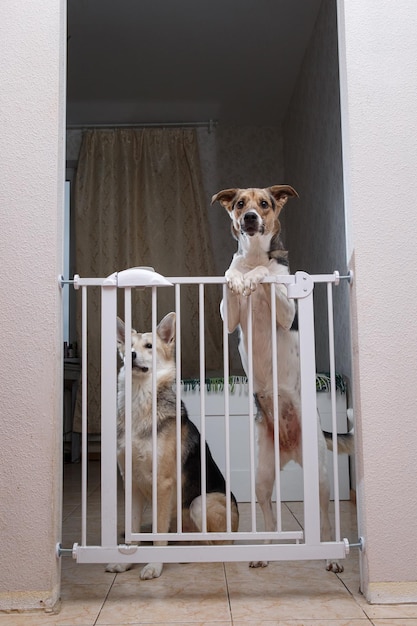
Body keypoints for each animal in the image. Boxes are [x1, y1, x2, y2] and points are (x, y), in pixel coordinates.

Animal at [105, 312, 239, 580]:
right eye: (128, 346)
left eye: (149, 346)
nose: (131, 355)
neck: (140, 400)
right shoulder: (131, 483)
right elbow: (132, 529)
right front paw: (125, 563)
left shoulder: (163, 483)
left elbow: (159, 535)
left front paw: (154, 566)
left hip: (200, 503)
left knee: (215, 544)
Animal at [211, 184, 352, 572]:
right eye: (239, 203)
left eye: (265, 204)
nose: (249, 218)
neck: (254, 255)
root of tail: (288, 450)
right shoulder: (229, 317)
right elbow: (230, 279)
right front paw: (238, 278)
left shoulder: (288, 308)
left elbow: (266, 274)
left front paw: (255, 277)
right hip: (261, 476)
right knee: (269, 515)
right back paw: (265, 551)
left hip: (319, 476)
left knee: (326, 517)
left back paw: (331, 558)